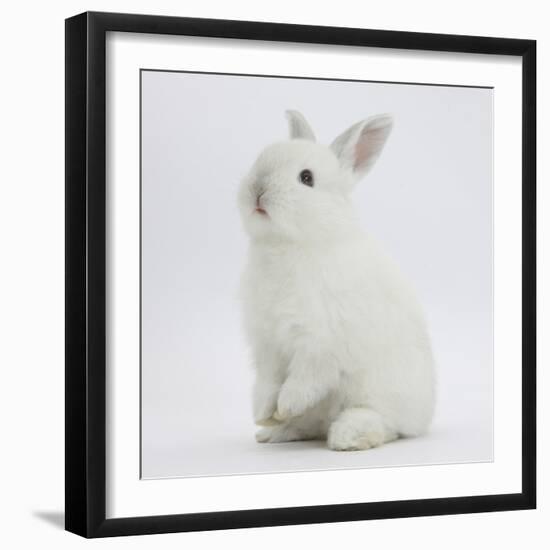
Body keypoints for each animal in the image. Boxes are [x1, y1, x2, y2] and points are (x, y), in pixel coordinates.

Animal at [237, 110, 436, 450]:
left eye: (306, 178)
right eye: (259, 160)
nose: (258, 189)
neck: (293, 243)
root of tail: (425, 416)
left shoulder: (320, 342)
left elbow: (304, 379)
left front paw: (285, 405)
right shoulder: (268, 343)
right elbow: (267, 381)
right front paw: (264, 413)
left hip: (379, 393)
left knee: (386, 425)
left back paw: (348, 435)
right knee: (311, 425)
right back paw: (274, 432)